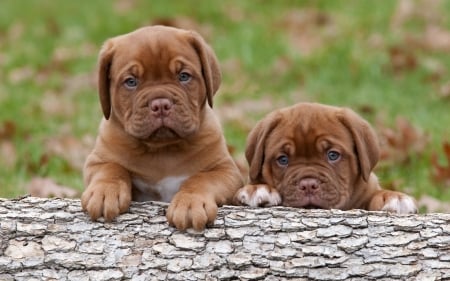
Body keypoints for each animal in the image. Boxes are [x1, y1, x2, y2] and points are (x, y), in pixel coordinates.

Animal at [81, 24, 243, 230]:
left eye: (184, 76)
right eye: (131, 81)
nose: (160, 104)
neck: (162, 149)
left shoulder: (226, 171)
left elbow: (201, 179)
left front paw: (190, 203)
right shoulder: (97, 160)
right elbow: (111, 168)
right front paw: (104, 192)